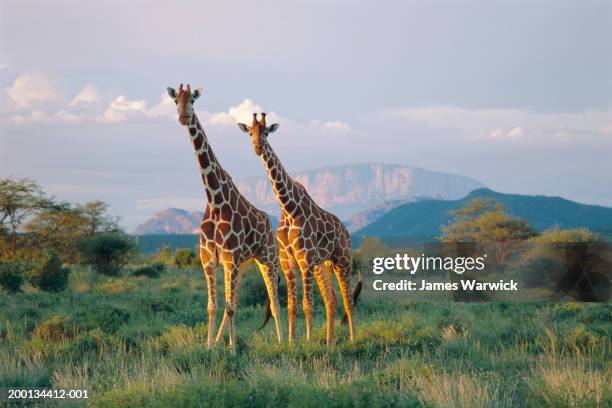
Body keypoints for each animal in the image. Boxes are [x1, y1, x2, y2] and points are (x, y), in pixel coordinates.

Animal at [166, 84, 284, 352]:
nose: (183, 117)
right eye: (176, 100)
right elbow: (214, 306)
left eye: (193, 100)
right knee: (236, 301)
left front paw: (232, 351)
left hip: (268, 259)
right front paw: (210, 347)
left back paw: (285, 342)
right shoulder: (209, 259)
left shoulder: (230, 259)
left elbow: (229, 308)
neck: (215, 200)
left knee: (274, 302)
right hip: (243, 265)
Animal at [237, 113, 356, 346]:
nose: (257, 147)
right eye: (250, 133)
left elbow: (307, 304)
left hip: (342, 261)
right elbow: (292, 305)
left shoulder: (305, 259)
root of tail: (345, 231)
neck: (289, 207)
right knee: (332, 300)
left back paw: (354, 340)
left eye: (266, 132)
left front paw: (307, 342)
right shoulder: (288, 261)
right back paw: (329, 343)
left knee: (348, 301)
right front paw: (291, 342)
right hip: (323, 265)